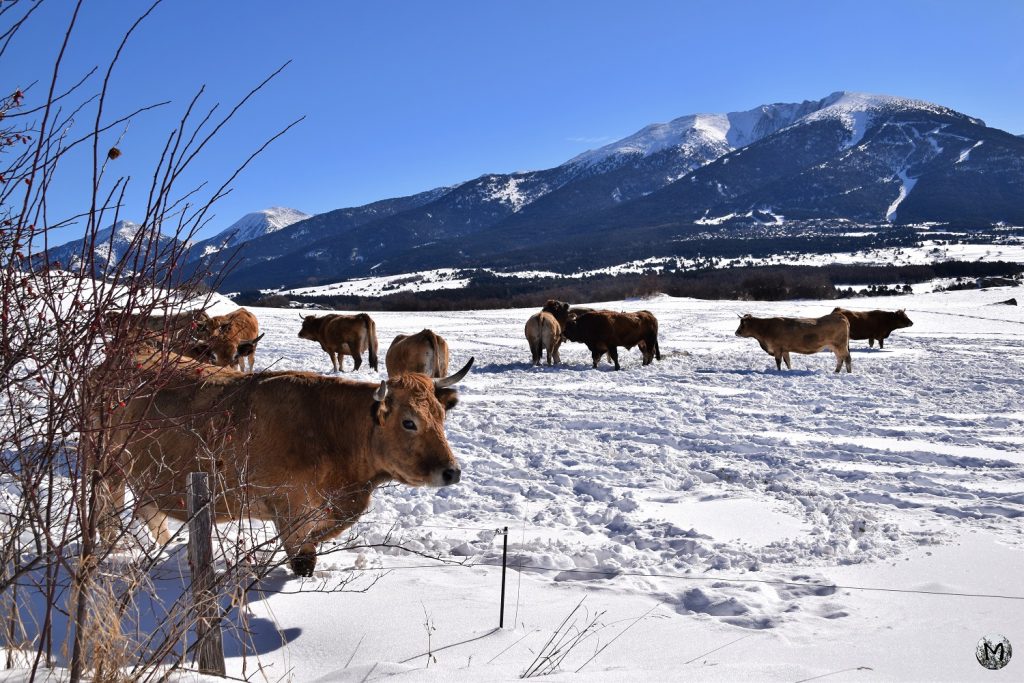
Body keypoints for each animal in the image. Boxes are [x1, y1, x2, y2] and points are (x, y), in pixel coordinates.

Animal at [97, 348, 474, 576]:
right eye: (409, 422)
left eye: (441, 415)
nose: (452, 471)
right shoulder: (289, 506)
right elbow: (303, 557)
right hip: (108, 467)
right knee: (108, 515)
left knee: (148, 509)